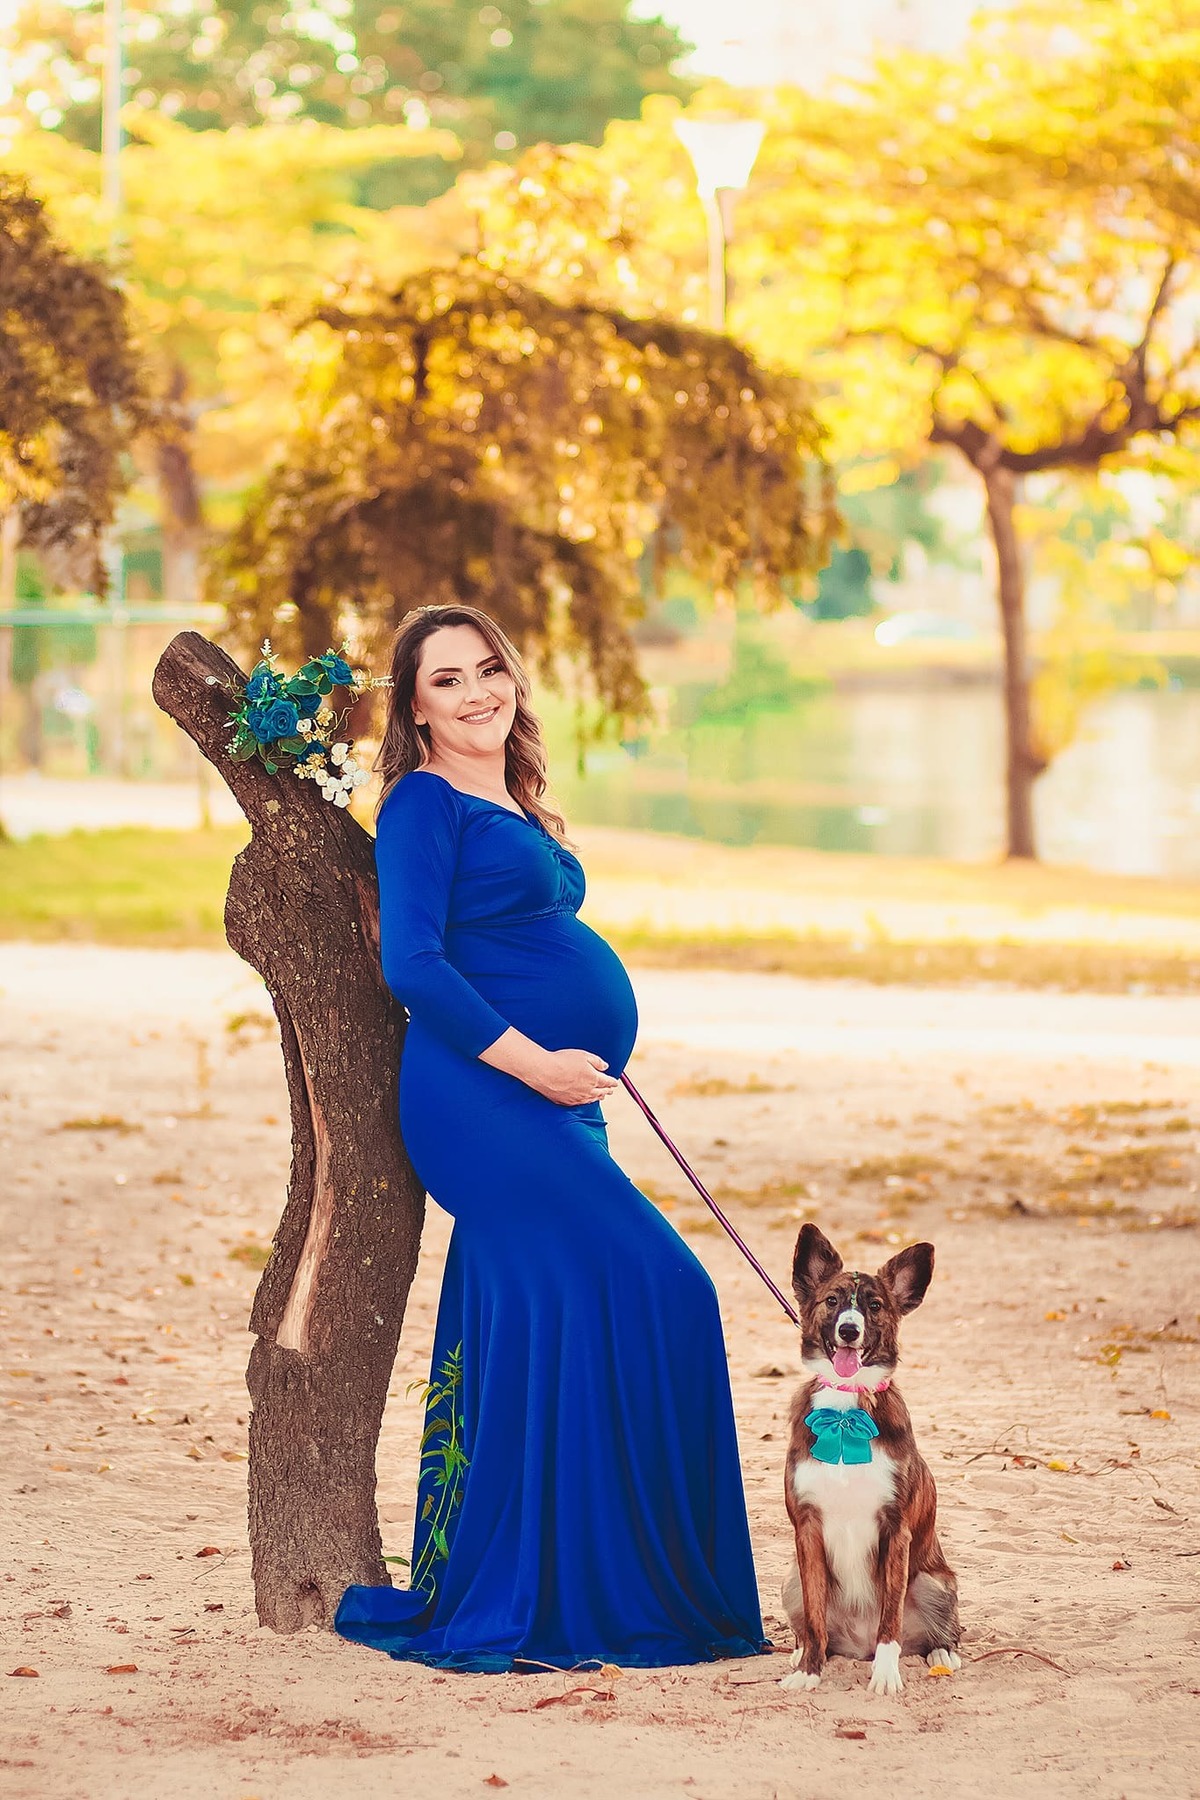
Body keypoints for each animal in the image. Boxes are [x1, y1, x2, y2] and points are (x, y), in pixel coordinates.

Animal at [780, 1223, 960, 1696]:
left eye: (874, 1306)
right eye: (832, 1301)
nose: (848, 1330)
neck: (846, 1408)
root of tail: (856, 1647)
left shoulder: (896, 1529)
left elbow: (890, 1621)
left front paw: (885, 1674)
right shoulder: (807, 1527)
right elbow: (815, 1620)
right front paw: (810, 1671)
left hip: (935, 1581)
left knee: (939, 1632)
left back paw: (941, 1654)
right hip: (791, 1581)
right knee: (814, 1628)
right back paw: (803, 1653)